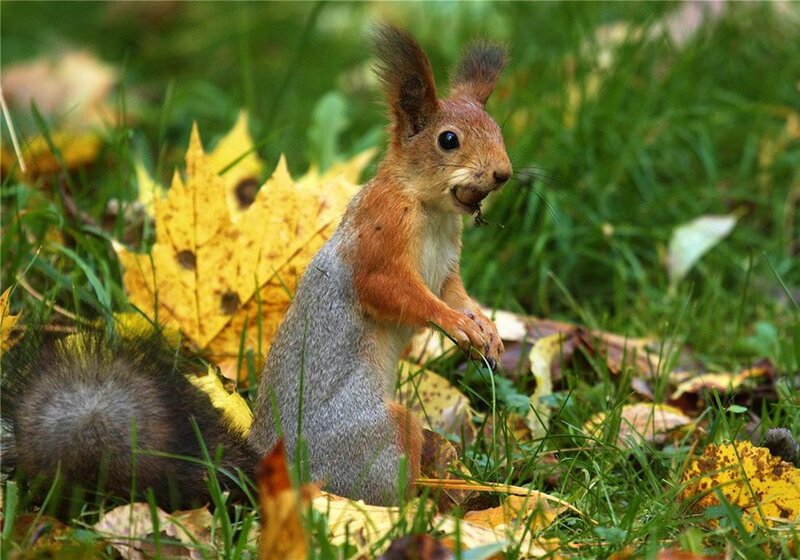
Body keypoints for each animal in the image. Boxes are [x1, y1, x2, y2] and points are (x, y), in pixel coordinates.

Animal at [0, 25, 511, 512]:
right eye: (448, 140)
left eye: (497, 128)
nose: (503, 173)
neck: (429, 208)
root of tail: (268, 472)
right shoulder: (379, 236)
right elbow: (391, 291)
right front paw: (453, 324)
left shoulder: (446, 264)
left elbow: (452, 292)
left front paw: (483, 327)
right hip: (372, 438)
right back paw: (427, 502)